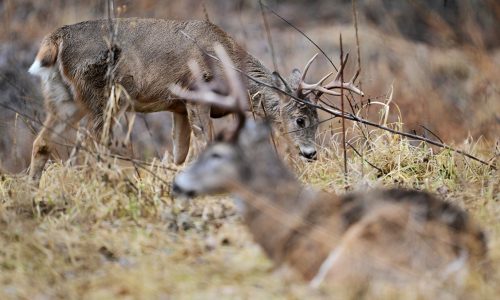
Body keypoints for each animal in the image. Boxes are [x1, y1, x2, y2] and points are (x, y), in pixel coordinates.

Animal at [26, 18, 364, 184]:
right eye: (299, 119)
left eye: (319, 121)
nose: (311, 154)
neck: (228, 66)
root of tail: (54, 40)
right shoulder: (196, 96)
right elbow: (203, 146)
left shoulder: (177, 107)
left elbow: (179, 155)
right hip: (103, 97)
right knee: (95, 147)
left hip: (65, 98)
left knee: (42, 142)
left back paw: (31, 196)